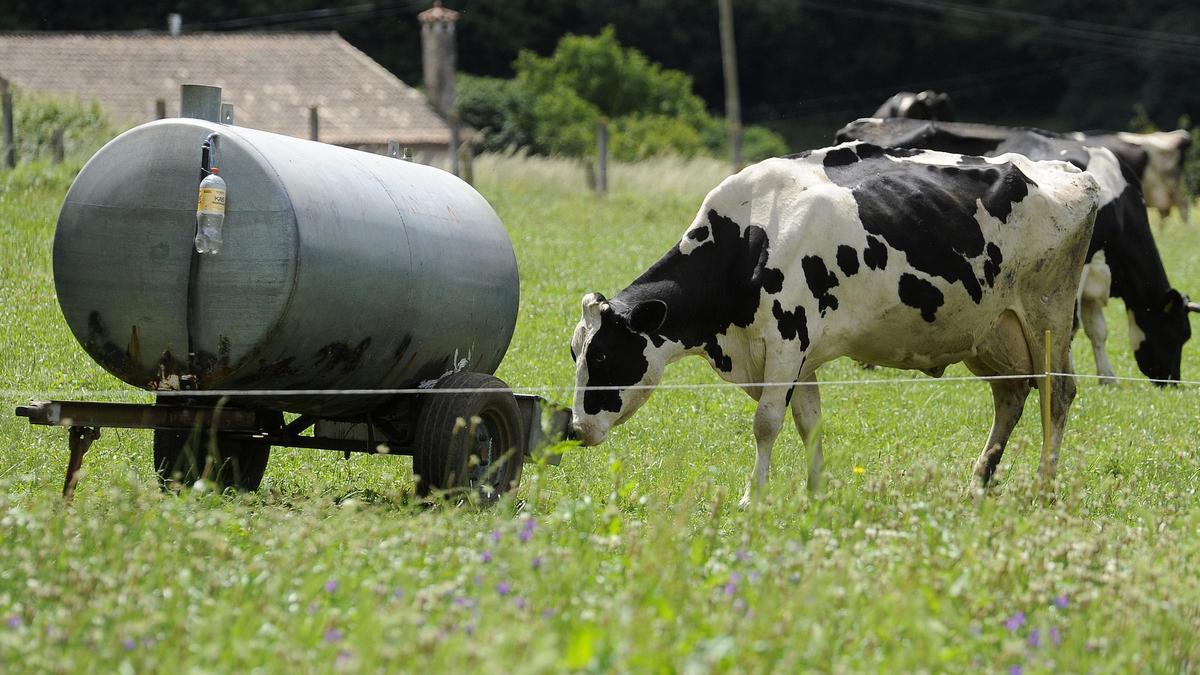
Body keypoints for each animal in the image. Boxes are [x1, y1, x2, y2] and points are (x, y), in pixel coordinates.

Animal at [570, 142, 1101, 506]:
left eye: (604, 355)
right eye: (574, 352)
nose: (574, 428)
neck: (751, 236)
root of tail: (1065, 171)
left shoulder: (787, 339)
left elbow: (766, 423)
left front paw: (752, 496)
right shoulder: (800, 356)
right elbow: (810, 422)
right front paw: (816, 489)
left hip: (1047, 316)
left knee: (1057, 393)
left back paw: (1044, 483)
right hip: (991, 334)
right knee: (1011, 396)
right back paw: (977, 481)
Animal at [836, 117, 1198, 384]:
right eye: (1176, 334)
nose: (1171, 381)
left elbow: (1098, 330)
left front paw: (1107, 378)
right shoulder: (1077, 267)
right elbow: (1078, 324)